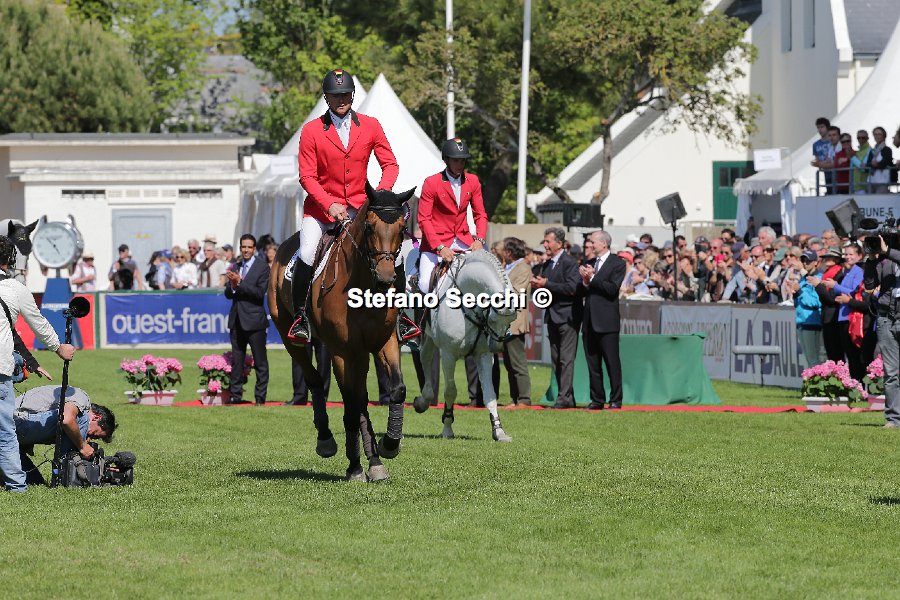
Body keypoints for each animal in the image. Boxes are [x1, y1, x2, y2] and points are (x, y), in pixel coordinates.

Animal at [269, 184, 414, 482]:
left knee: (361, 398)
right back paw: (326, 441)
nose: (386, 278)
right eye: (369, 227)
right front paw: (355, 466)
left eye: (403, 227)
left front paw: (388, 446)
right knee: (316, 380)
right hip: (292, 339)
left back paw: (375, 461)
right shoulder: (342, 351)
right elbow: (349, 406)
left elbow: (396, 390)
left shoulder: (384, 342)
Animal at [413, 250, 517, 442]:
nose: (497, 348)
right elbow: (450, 391)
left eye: (511, 321)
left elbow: (490, 393)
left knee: (425, 358)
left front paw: (498, 431)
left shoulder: (483, 355)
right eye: (493, 319)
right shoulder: (448, 354)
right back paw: (422, 401)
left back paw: (423, 400)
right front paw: (447, 428)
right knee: (425, 359)